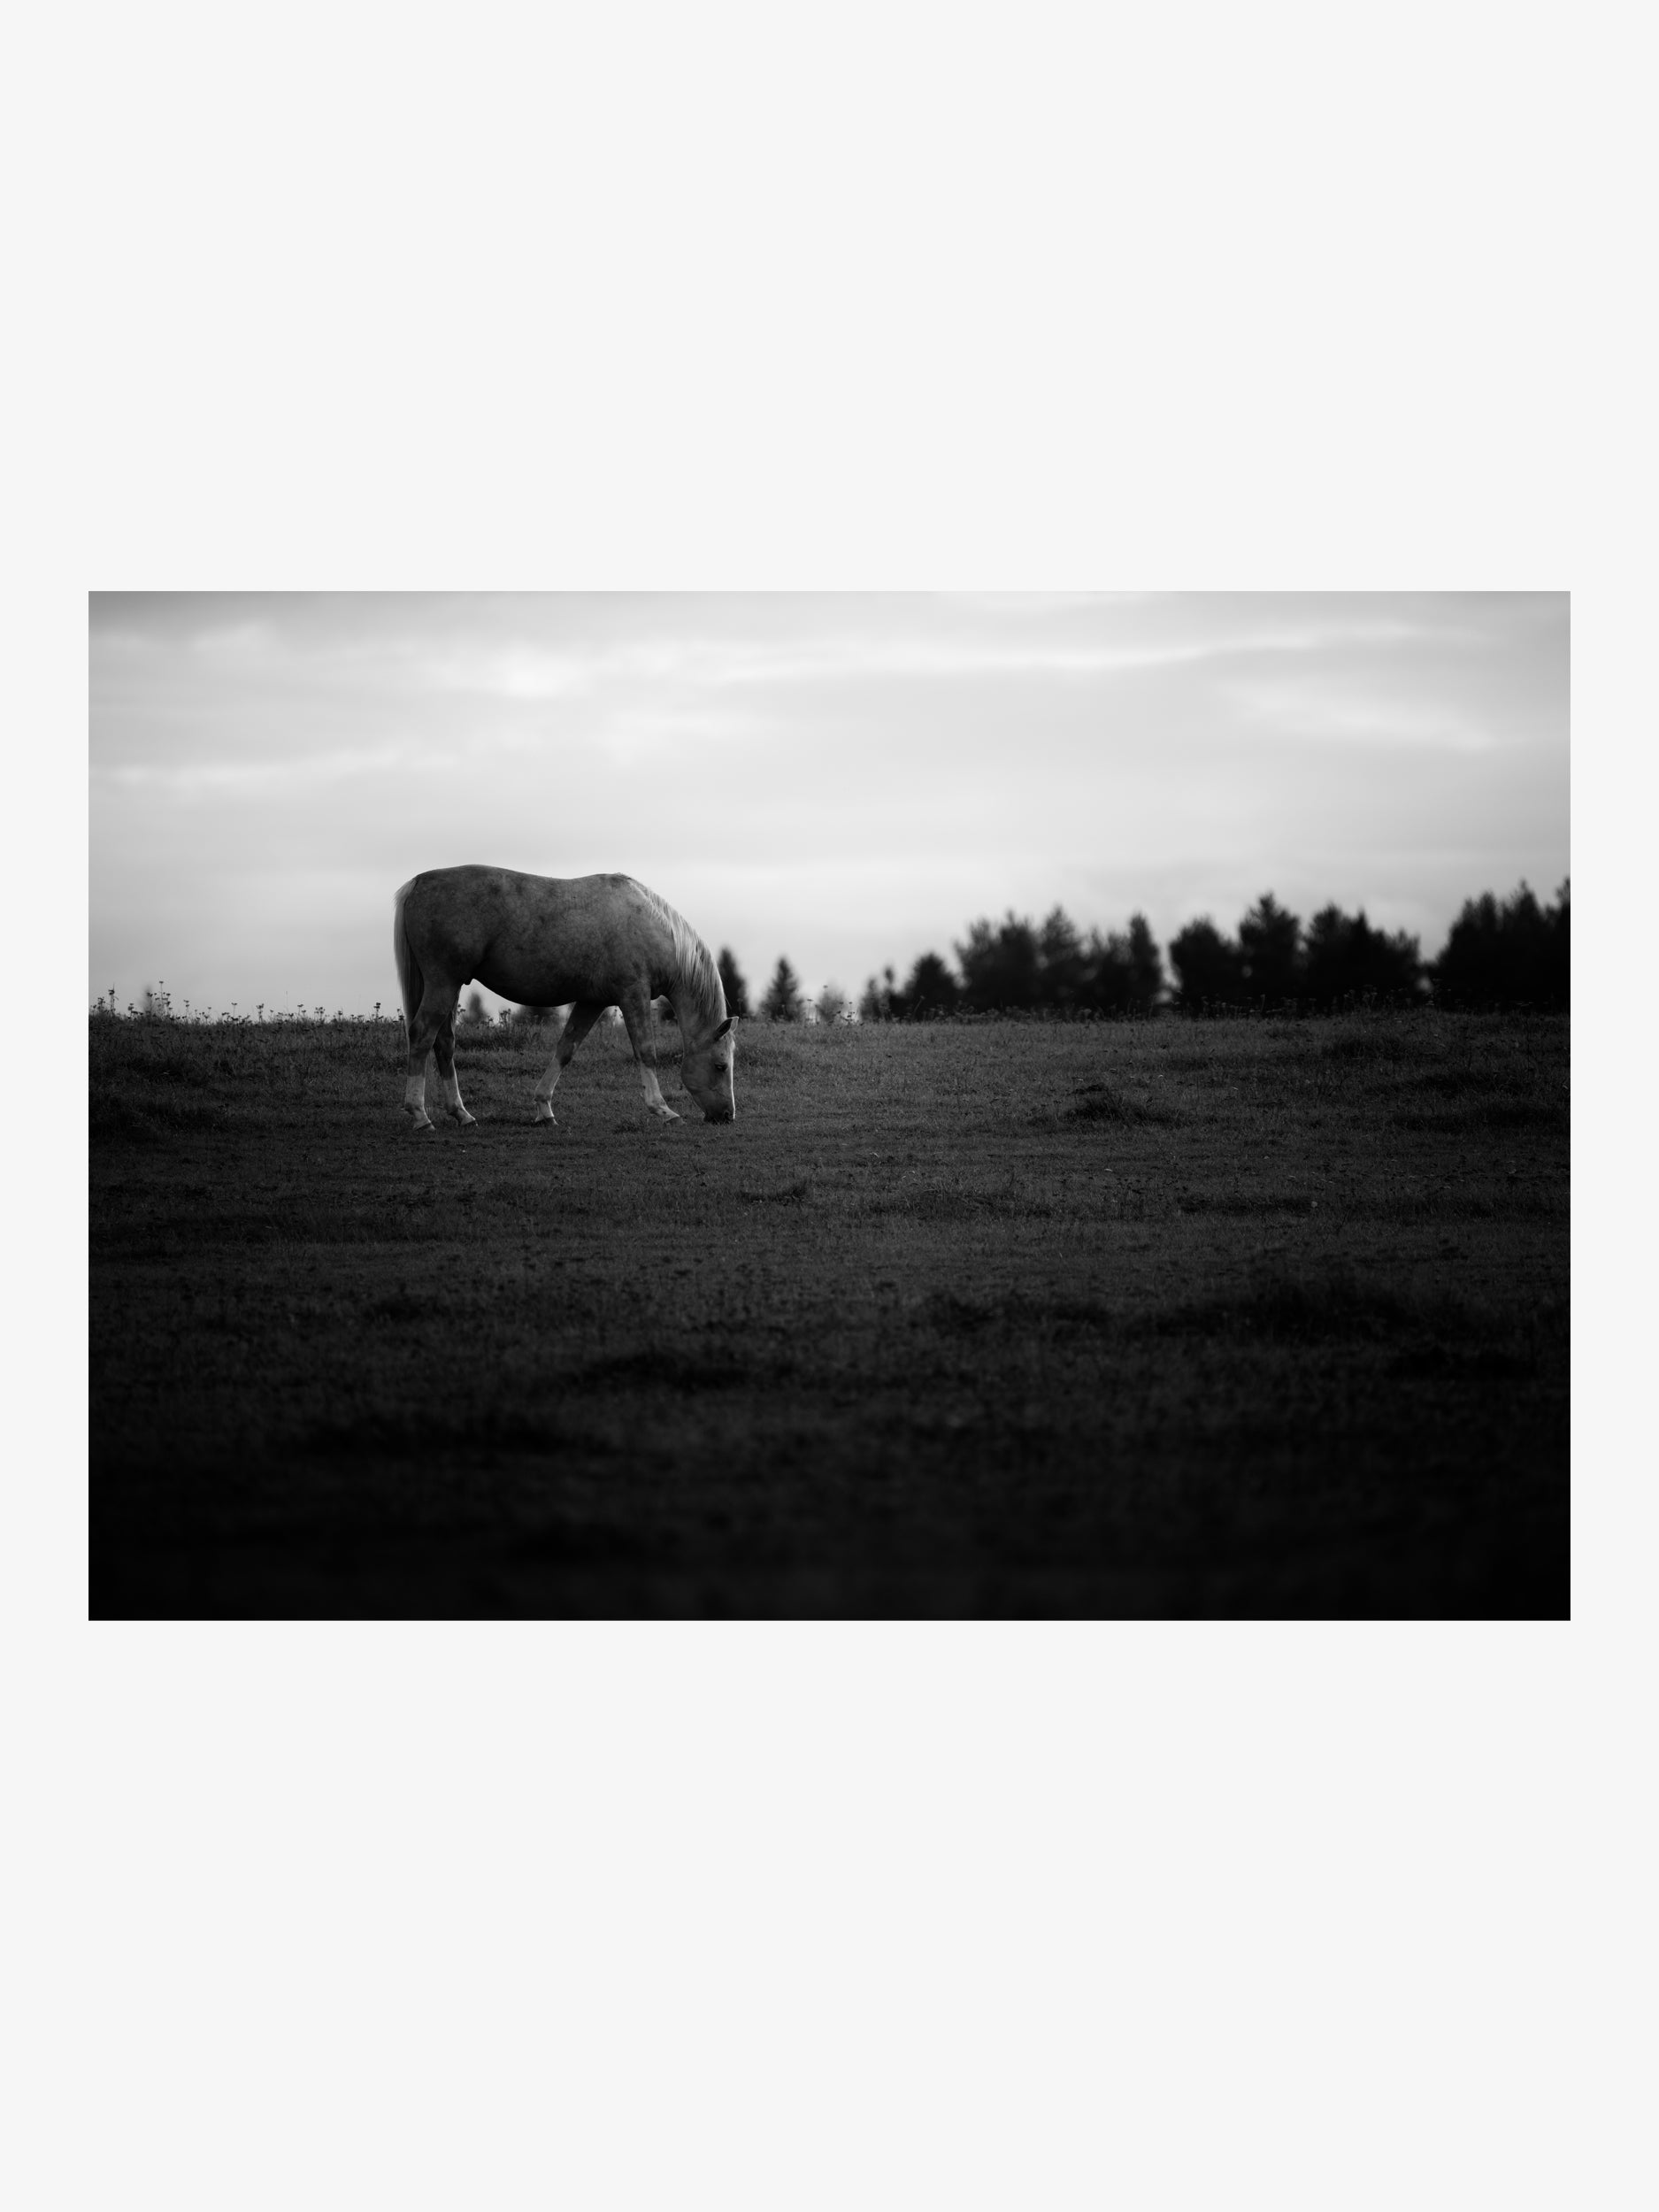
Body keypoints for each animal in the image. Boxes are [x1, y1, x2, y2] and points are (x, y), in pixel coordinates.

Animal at [393, 866, 736, 1129]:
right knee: (422, 1035)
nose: (727, 1116)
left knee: (444, 1042)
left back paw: (461, 1114)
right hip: (443, 983)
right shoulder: (633, 995)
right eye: (721, 1066)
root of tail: (419, 882)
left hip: (449, 987)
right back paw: (420, 1115)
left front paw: (544, 1109)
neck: (652, 926)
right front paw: (663, 1110)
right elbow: (646, 1052)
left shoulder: (592, 1002)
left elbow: (566, 1049)